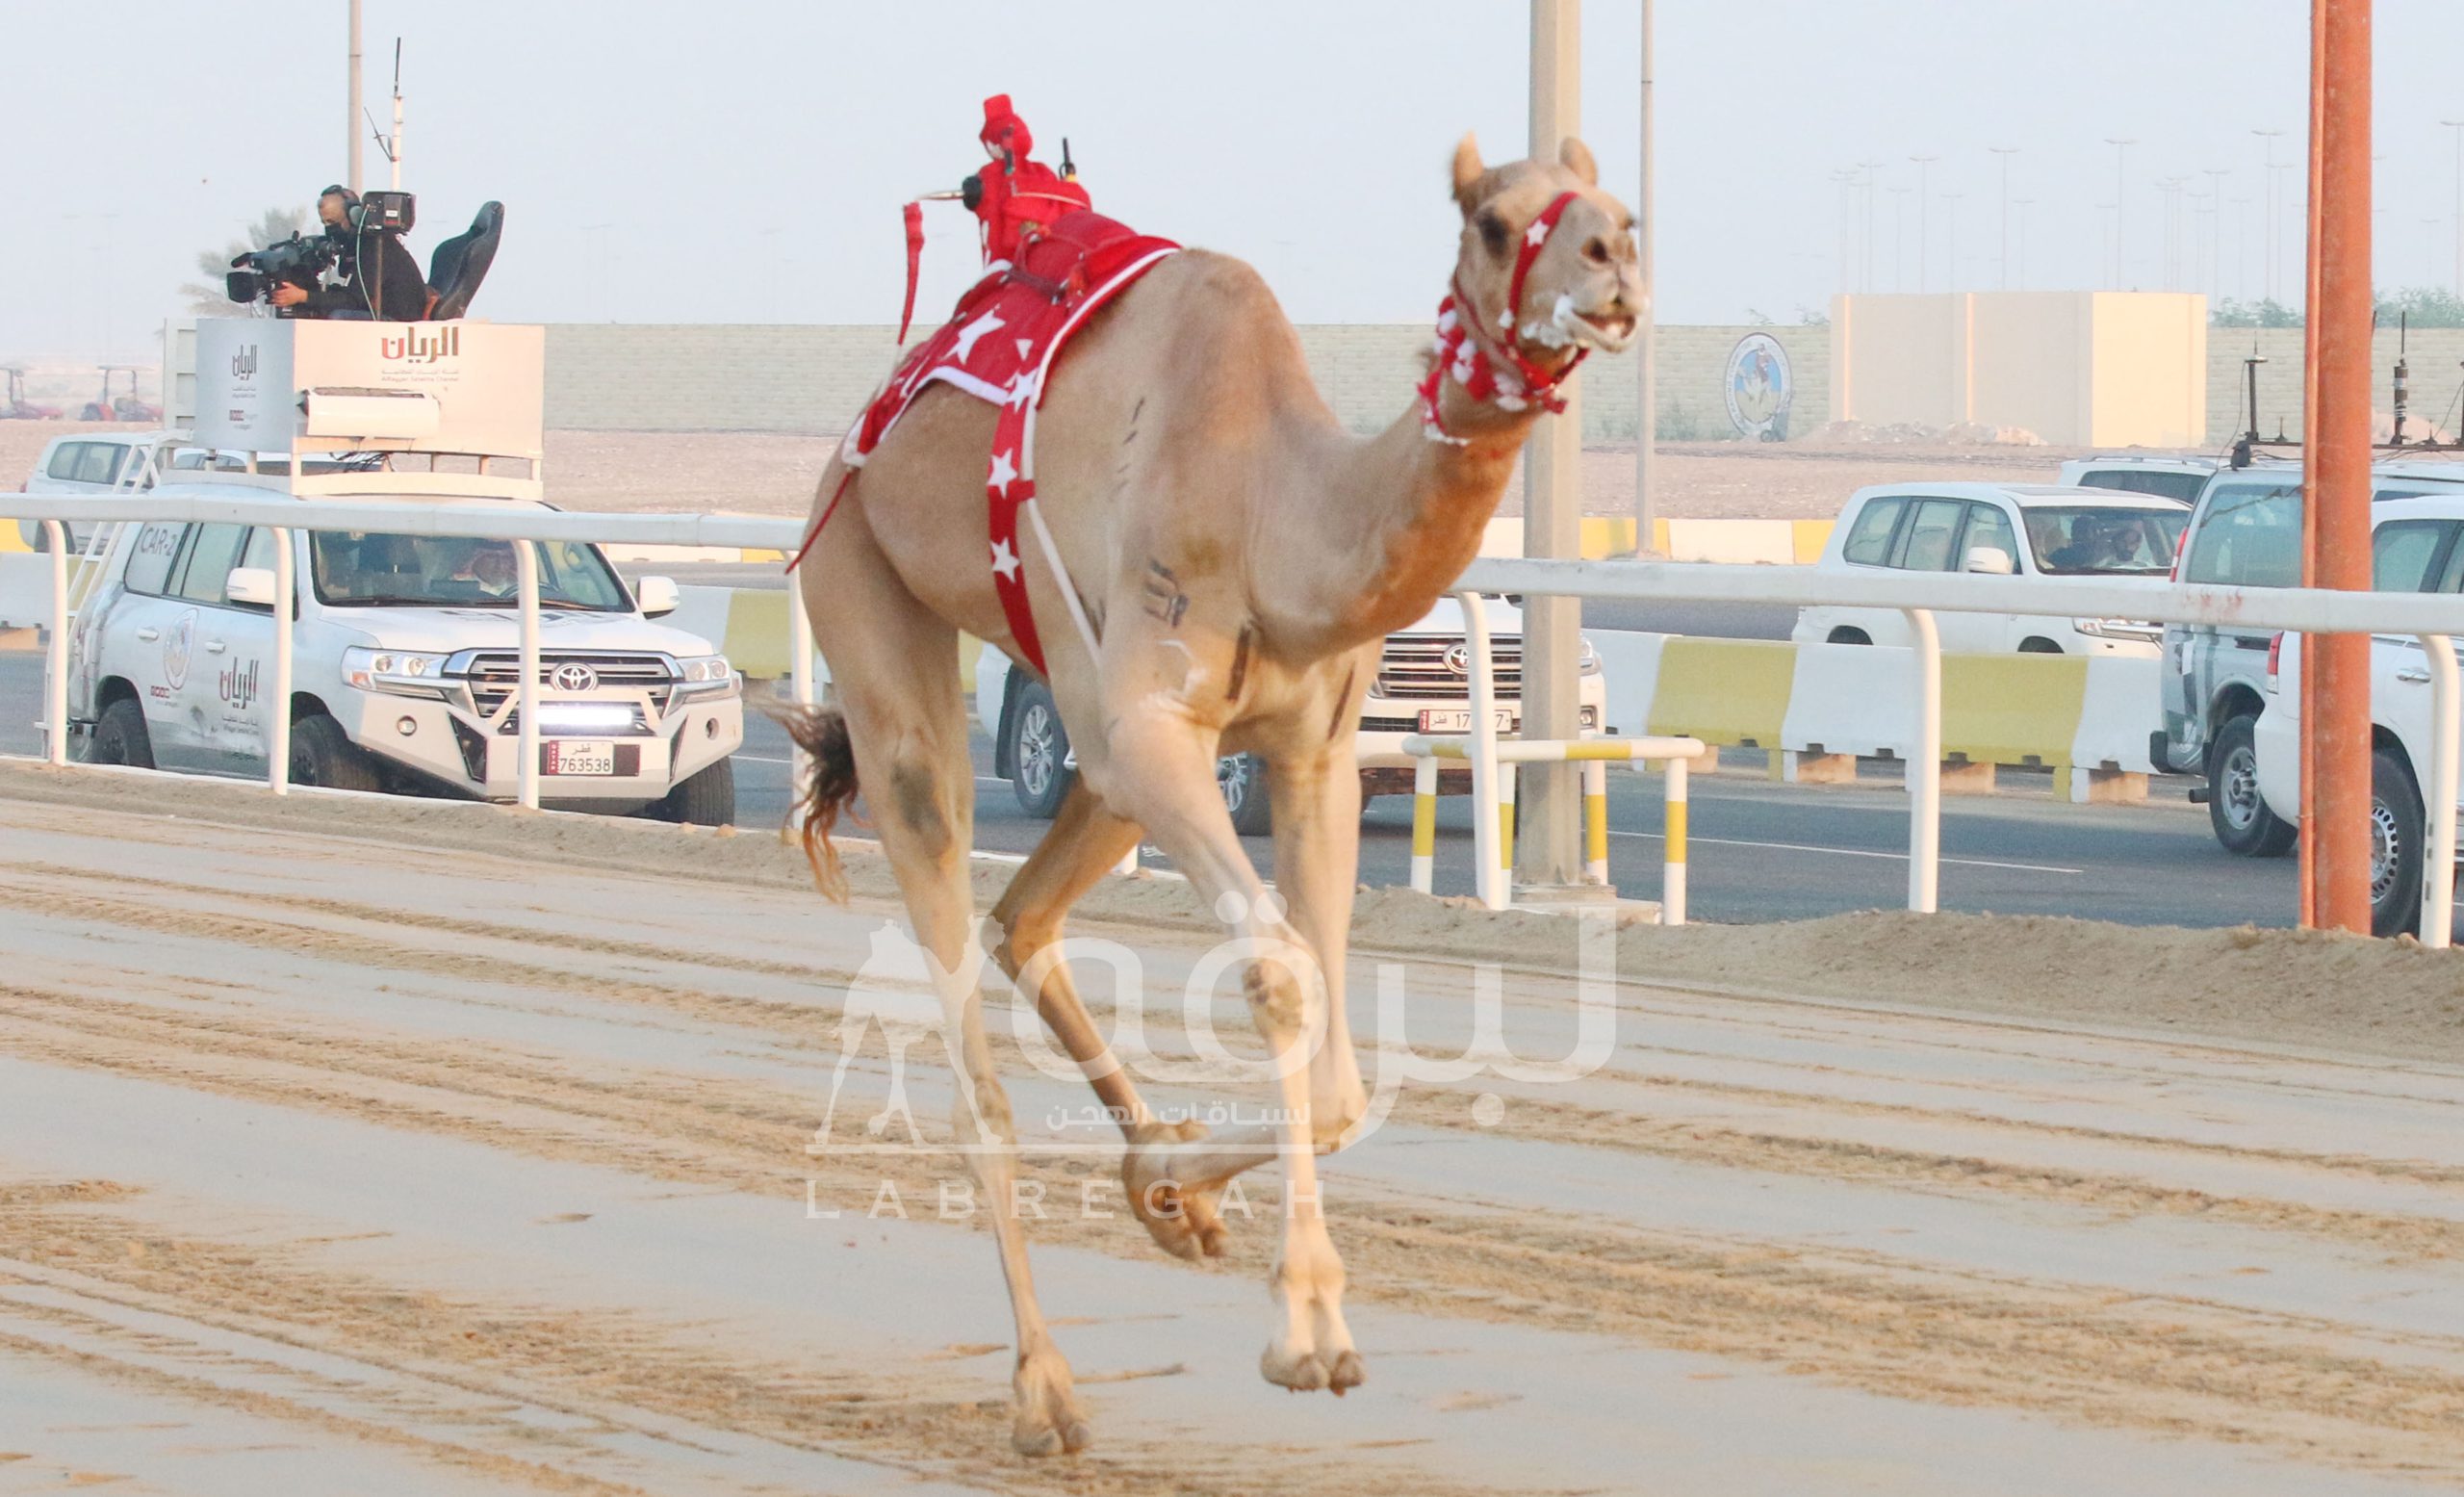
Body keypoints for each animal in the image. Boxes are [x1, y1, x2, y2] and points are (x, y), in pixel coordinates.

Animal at [788, 137, 1635, 1450]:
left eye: (1624, 211)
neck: (1269, 510)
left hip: (1096, 743)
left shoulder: (1308, 756)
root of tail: (860, 432)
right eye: (1494, 222)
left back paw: (1159, 1187)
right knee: (969, 1014)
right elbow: (1282, 977)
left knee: (1021, 915)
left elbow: (1339, 1071)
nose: (1611, 270)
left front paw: (1173, 1191)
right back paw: (1043, 1389)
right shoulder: (1154, 726)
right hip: (869, 594)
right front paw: (1306, 1335)